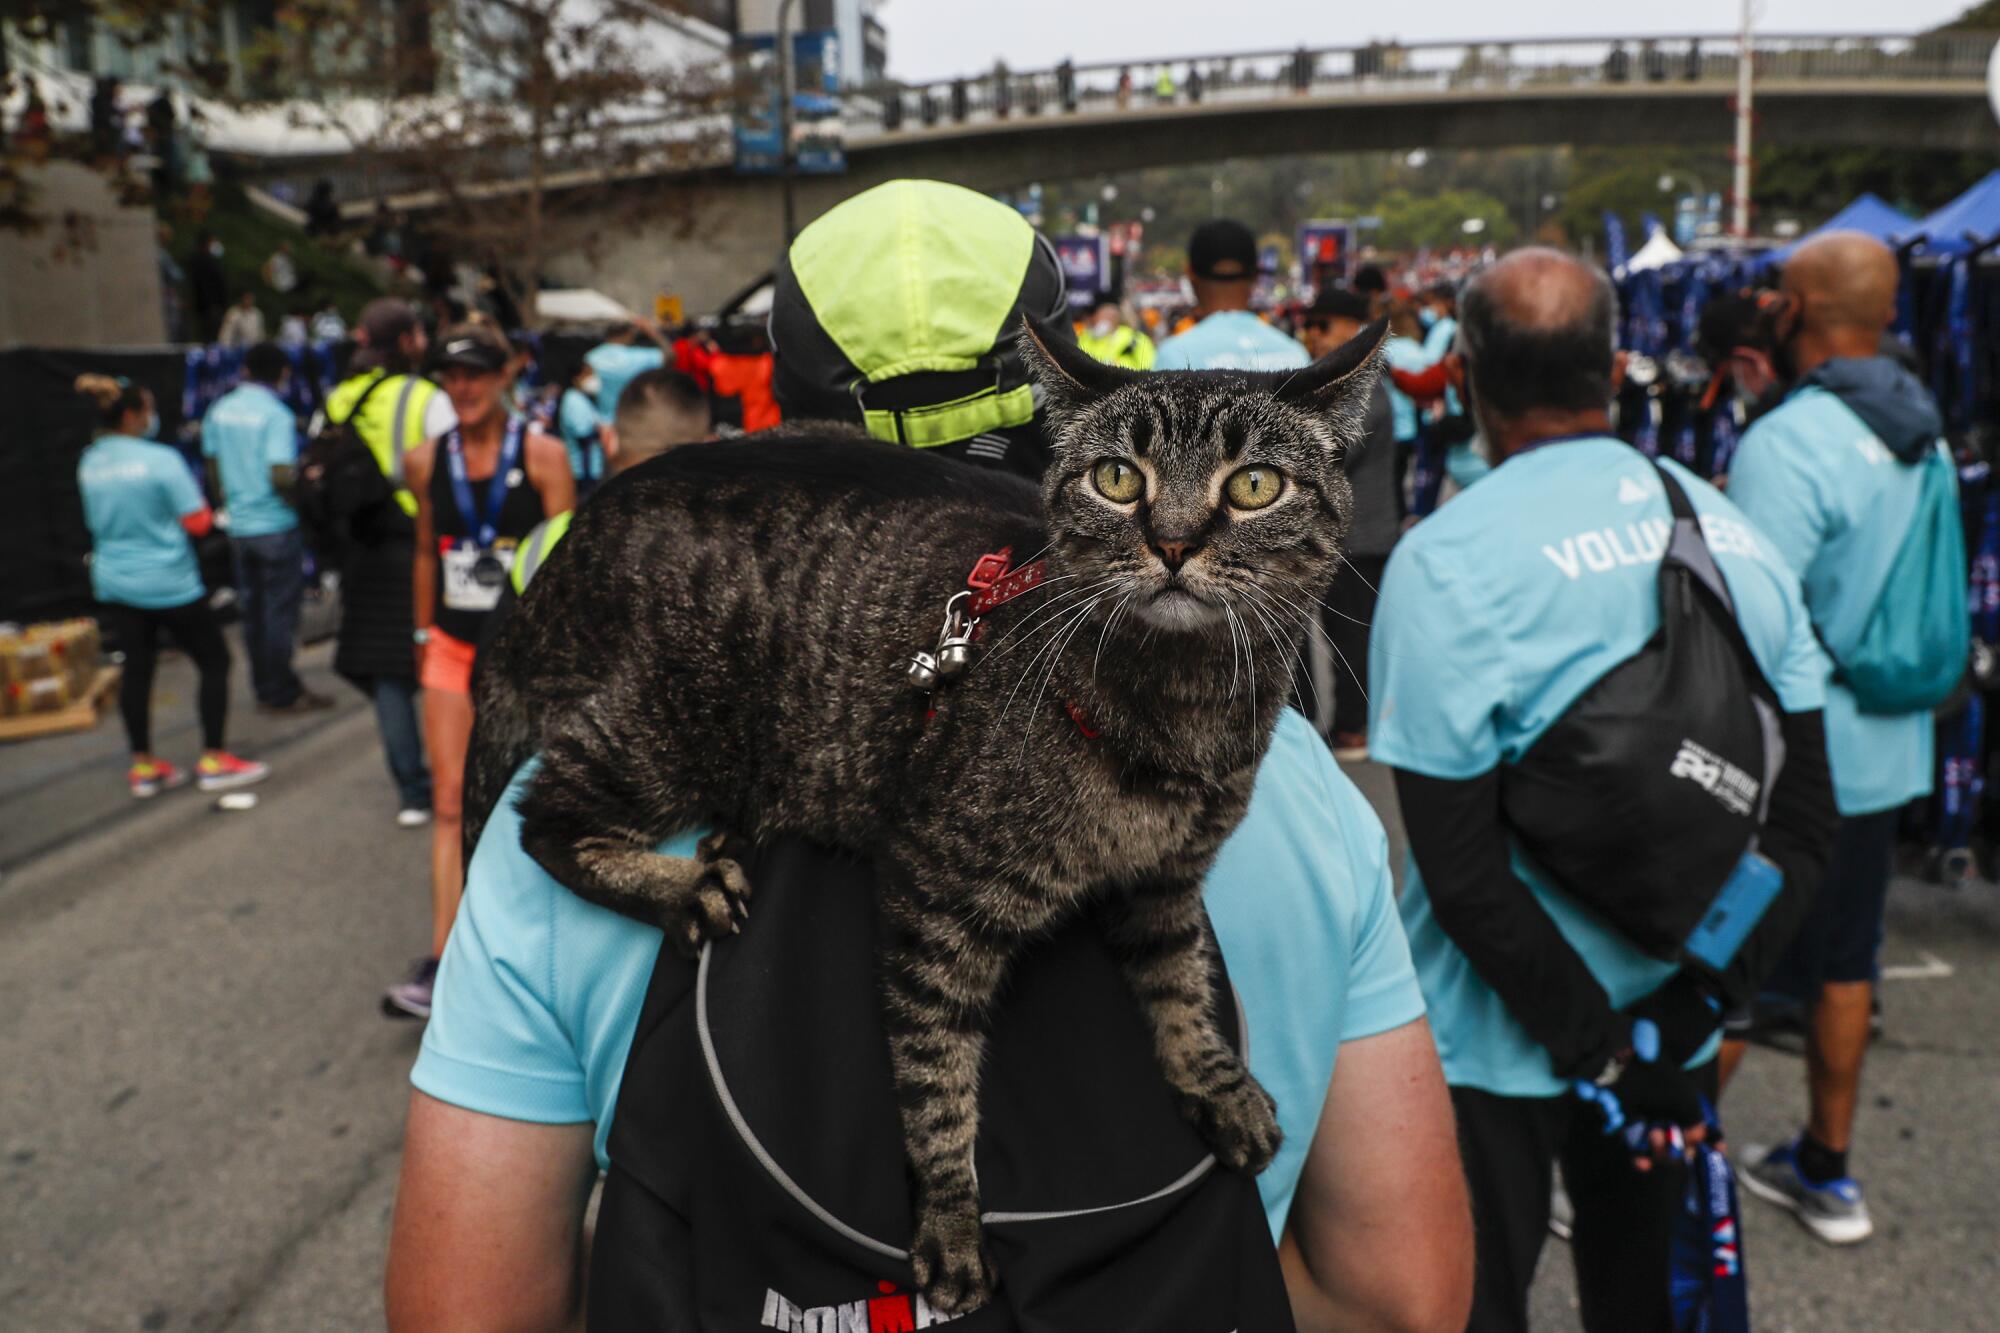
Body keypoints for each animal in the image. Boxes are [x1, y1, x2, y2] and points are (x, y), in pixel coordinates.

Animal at [462, 316, 1384, 1312]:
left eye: (1254, 485)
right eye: (1117, 478)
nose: (1173, 541)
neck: (1184, 720)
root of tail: (567, 548)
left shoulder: (1167, 885)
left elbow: (1183, 988)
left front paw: (1216, 1082)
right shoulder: (935, 893)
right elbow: (935, 1073)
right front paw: (950, 1218)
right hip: (668, 728)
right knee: (543, 816)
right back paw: (683, 887)